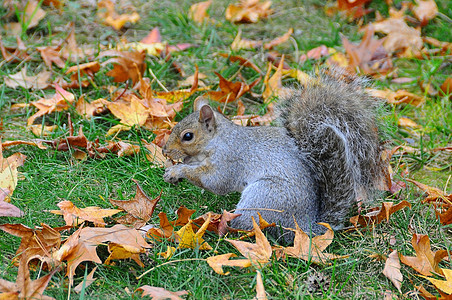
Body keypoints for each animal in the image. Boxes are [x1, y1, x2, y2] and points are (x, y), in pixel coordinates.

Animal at [162, 69, 384, 240]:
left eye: (188, 136)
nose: (164, 150)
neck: (219, 139)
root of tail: (305, 227)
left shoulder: (229, 159)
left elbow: (215, 181)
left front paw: (178, 170)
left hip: (263, 197)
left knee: (246, 226)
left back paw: (217, 224)